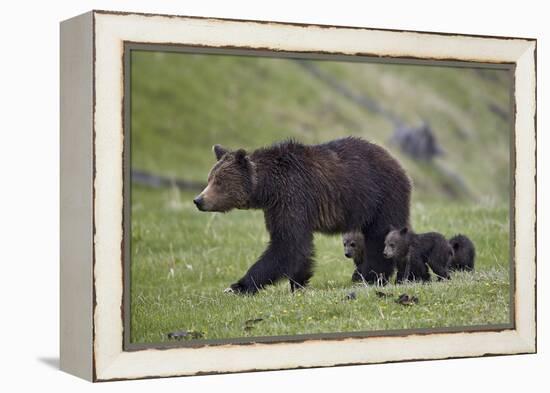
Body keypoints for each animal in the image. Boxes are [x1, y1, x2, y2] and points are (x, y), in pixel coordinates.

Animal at [192, 136, 412, 292]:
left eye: (219, 182)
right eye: (210, 178)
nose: (198, 200)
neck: (268, 188)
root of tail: (397, 162)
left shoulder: (293, 196)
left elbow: (287, 245)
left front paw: (238, 286)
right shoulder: (276, 207)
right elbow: (297, 247)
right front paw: (298, 283)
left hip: (380, 196)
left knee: (379, 237)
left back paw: (371, 276)